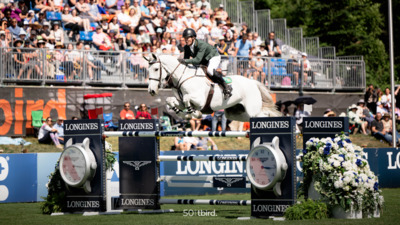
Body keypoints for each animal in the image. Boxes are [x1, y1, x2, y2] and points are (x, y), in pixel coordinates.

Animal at [147, 54, 282, 121]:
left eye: (156, 69)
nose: (151, 91)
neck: (183, 76)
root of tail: (253, 82)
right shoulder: (180, 101)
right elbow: (170, 100)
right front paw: (183, 114)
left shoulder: (200, 101)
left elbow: (187, 99)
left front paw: (195, 114)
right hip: (236, 113)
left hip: (252, 110)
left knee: (263, 115)